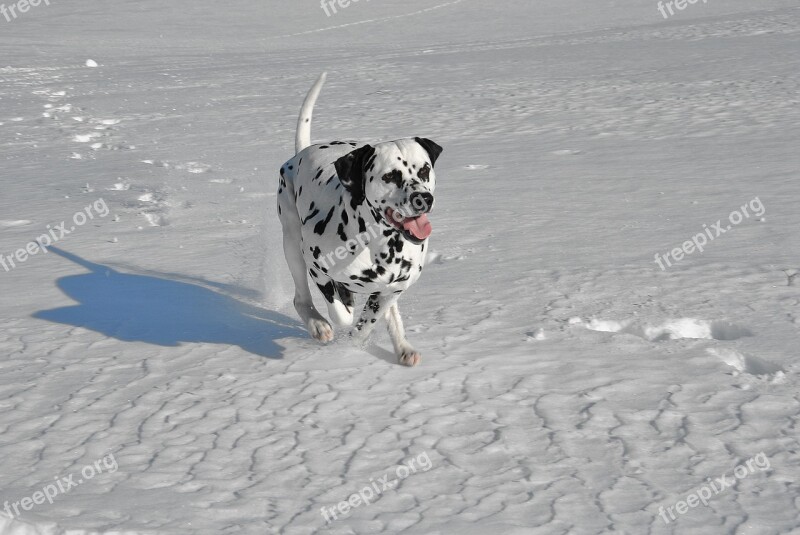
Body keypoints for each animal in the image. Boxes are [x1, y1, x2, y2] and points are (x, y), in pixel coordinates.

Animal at [278, 73, 444, 368]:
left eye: (424, 170)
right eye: (389, 176)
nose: (422, 198)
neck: (379, 244)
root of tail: (301, 154)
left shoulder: (395, 287)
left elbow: (371, 319)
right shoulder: (317, 267)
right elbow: (342, 314)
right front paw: (338, 318)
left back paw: (403, 348)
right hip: (292, 245)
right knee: (301, 298)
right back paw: (318, 325)